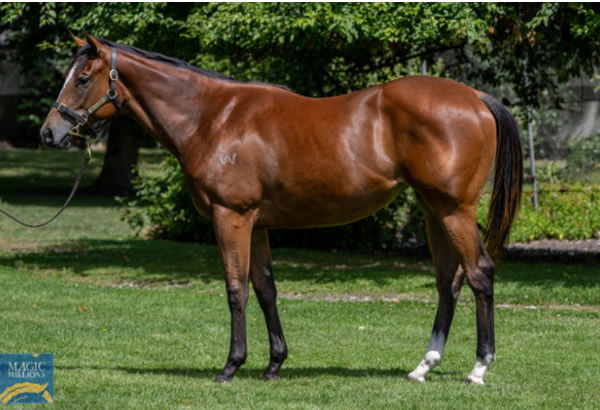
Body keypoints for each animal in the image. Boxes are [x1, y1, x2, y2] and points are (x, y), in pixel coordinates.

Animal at [41, 35, 520, 384]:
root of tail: (474, 96)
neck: (212, 118)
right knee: (448, 282)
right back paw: (423, 366)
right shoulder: (257, 225)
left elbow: (235, 288)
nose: (49, 133)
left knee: (479, 273)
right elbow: (265, 288)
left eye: (83, 78)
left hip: (454, 209)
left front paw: (231, 365)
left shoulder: (231, 217)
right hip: (433, 209)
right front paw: (274, 363)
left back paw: (479, 368)